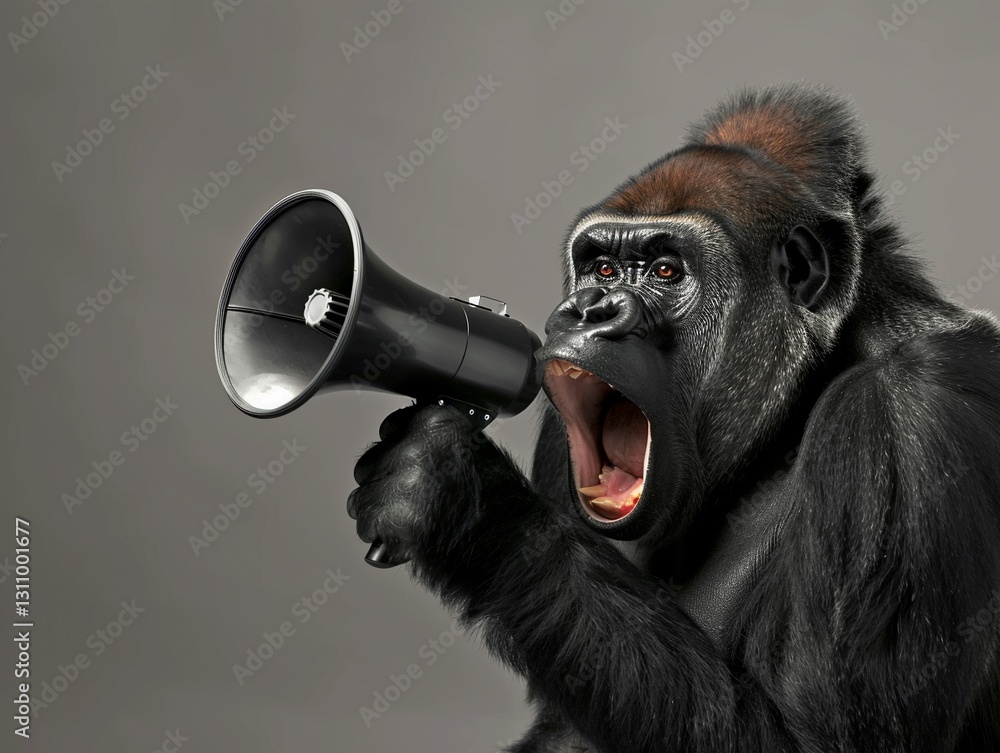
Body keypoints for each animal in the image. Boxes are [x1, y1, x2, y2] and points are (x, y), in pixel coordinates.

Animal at [346, 82, 1000, 752]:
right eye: (603, 269)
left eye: (665, 271)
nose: (588, 310)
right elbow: (562, 721)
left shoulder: (909, 416)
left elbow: (814, 741)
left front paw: (472, 507)